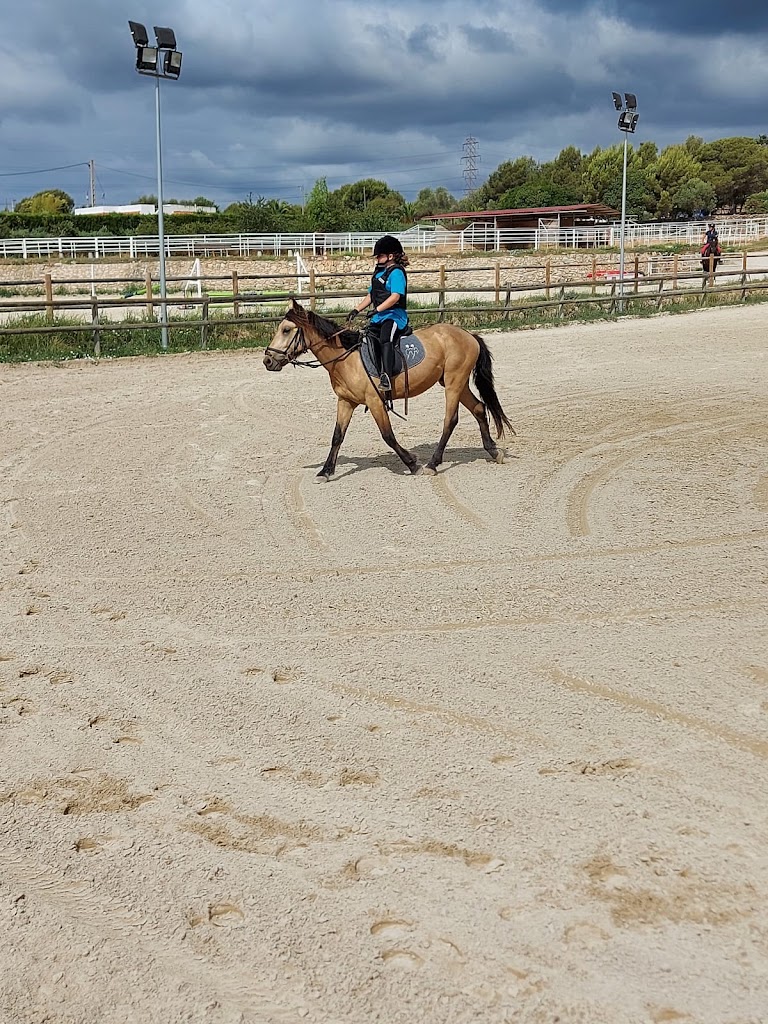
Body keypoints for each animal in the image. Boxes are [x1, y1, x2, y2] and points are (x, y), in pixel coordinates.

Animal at [263, 300, 514, 480]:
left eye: (286, 330)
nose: (267, 361)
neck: (347, 358)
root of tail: (468, 335)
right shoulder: (345, 402)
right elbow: (337, 437)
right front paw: (325, 471)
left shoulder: (374, 401)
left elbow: (388, 436)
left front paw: (412, 463)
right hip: (456, 384)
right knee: (479, 408)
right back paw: (493, 451)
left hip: (454, 383)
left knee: (450, 420)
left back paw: (433, 464)